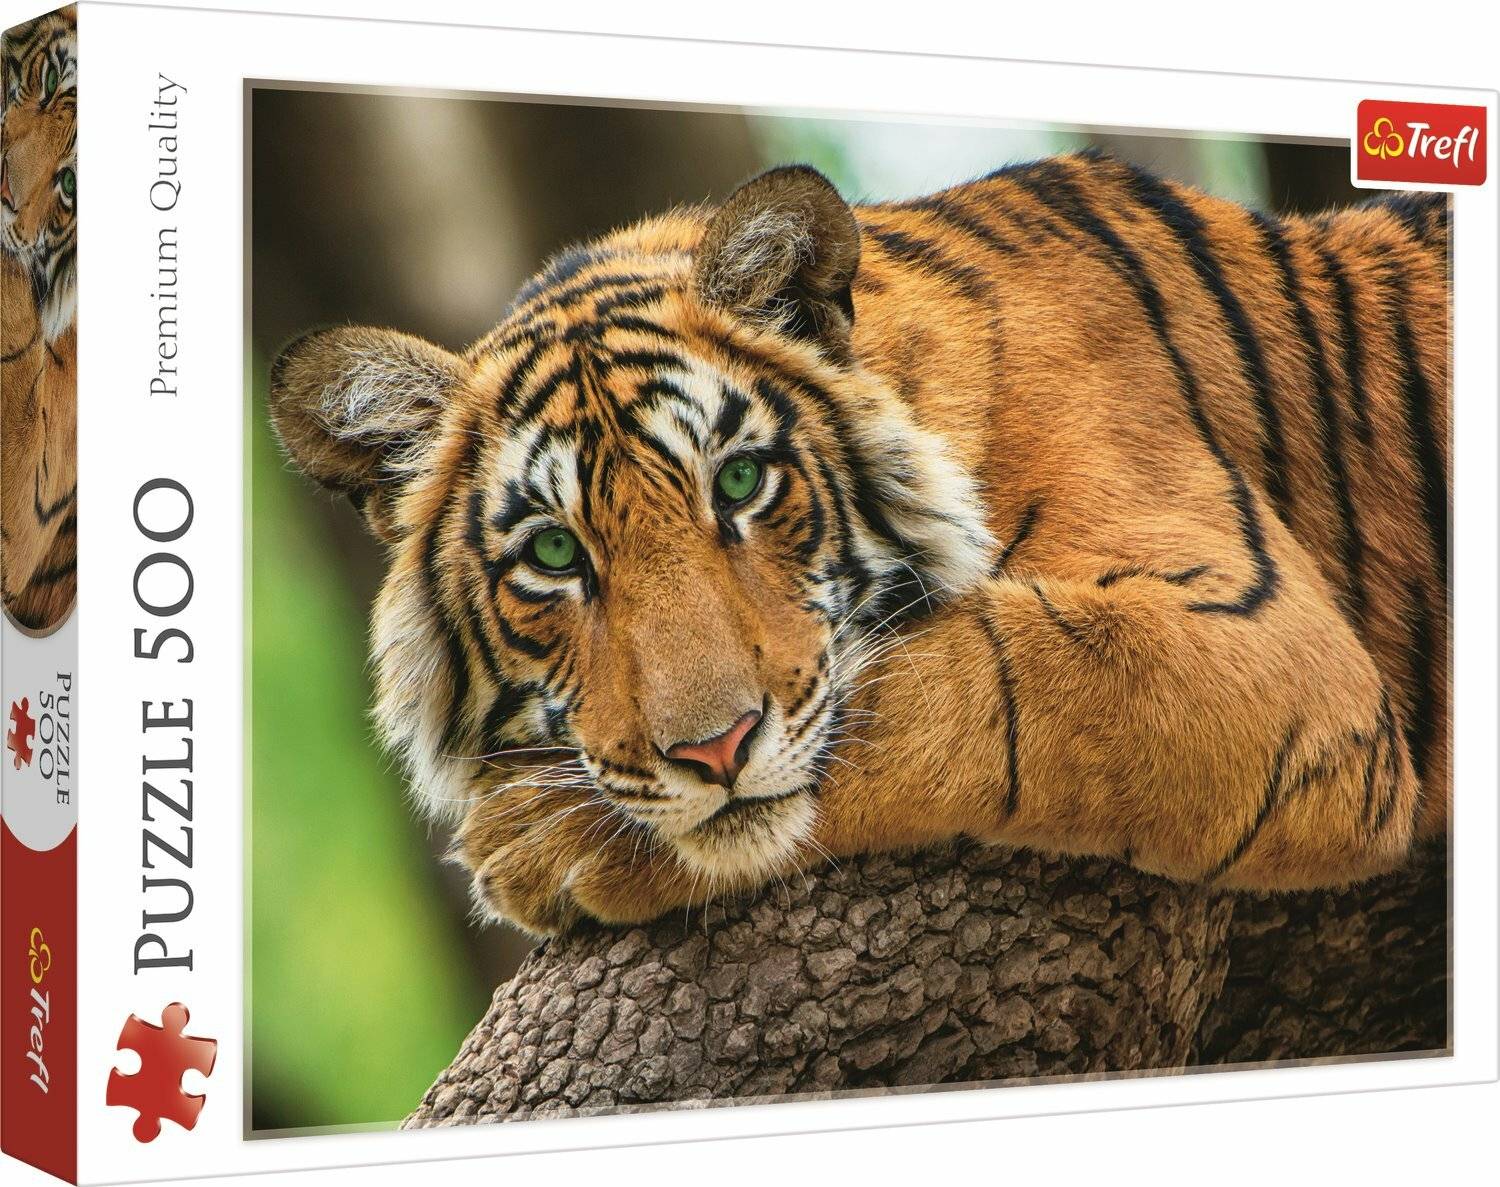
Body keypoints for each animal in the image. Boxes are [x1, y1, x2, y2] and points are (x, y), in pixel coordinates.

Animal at [269, 149, 1449, 936]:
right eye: (556, 556)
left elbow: (969, 680)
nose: (713, 752)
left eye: (740, 482)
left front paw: (536, 841)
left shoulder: (1268, 649)